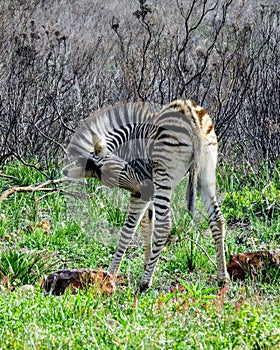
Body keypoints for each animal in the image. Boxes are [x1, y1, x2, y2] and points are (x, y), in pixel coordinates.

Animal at [63, 100, 230, 292]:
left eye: (123, 168)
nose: (145, 189)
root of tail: (190, 113)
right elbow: (146, 225)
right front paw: (147, 264)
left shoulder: (142, 189)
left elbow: (129, 230)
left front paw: (111, 274)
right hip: (206, 173)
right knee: (217, 219)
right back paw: (222, 278)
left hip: (164, 176)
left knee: (164, 226)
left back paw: (144, 283)